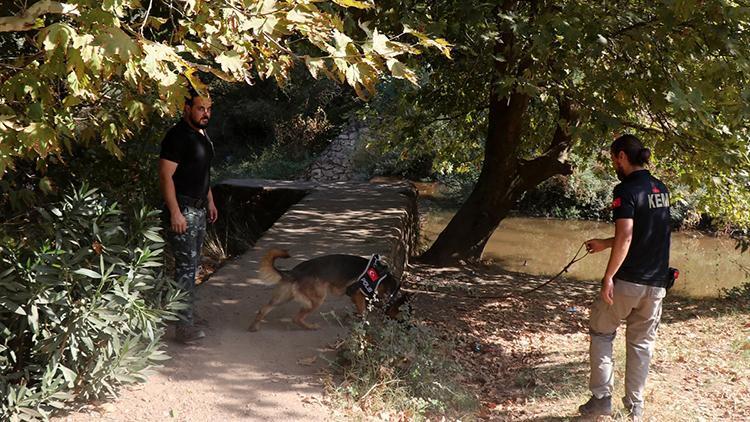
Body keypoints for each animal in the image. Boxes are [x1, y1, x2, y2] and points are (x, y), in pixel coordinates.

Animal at [250, 249, 408, 332]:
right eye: (407, 315)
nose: (408, 327)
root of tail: (295, 272)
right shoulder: (357, 293)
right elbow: (363, 312)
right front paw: (362, 323)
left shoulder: (355, 296)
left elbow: (360, 310)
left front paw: (353, 317)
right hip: (317, 299)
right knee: (297, 318)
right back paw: (310, 327)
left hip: (283, 297)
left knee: (264, 309)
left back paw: (254, 326)